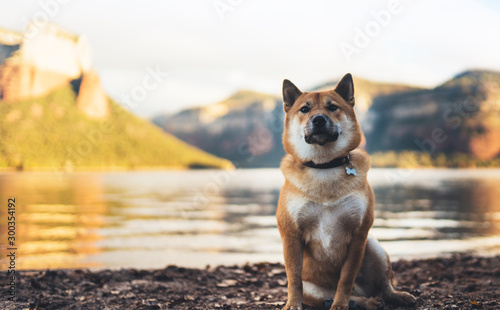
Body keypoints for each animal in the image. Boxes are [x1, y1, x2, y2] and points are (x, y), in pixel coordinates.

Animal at [276, 74, 416, 308]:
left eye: (332, 107)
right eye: (304, 109)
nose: (318, 119)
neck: (324, 167)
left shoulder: (359, 234)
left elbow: (346, 277)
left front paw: (340, 304)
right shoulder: (291, 234)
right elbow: (293, 278)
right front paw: (293, 304)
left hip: (374, 247)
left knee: (384, 285)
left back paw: (394, 297)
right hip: (314, 290)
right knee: (351, 296)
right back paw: (366, 302)